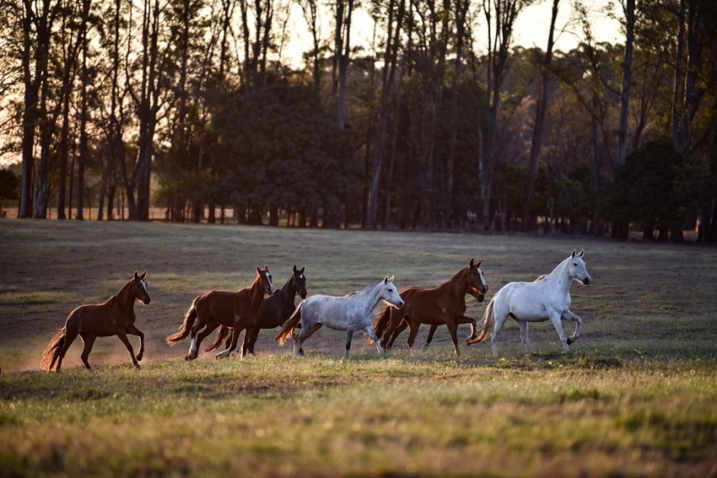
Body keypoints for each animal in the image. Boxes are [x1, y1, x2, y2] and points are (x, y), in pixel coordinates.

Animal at [276, 276, 405, 358]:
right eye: (390, 289)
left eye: (396, 289)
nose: (401, 303)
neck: (362, 305)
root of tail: (305, 301)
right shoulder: (350, 328)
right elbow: (348, 345)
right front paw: (346, 359)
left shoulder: (368, 328)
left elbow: (376, 339)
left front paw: (383, 355)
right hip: (307, 326)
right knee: (297, 339)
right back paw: (294, 358)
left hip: (315, 326)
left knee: (300, 340)